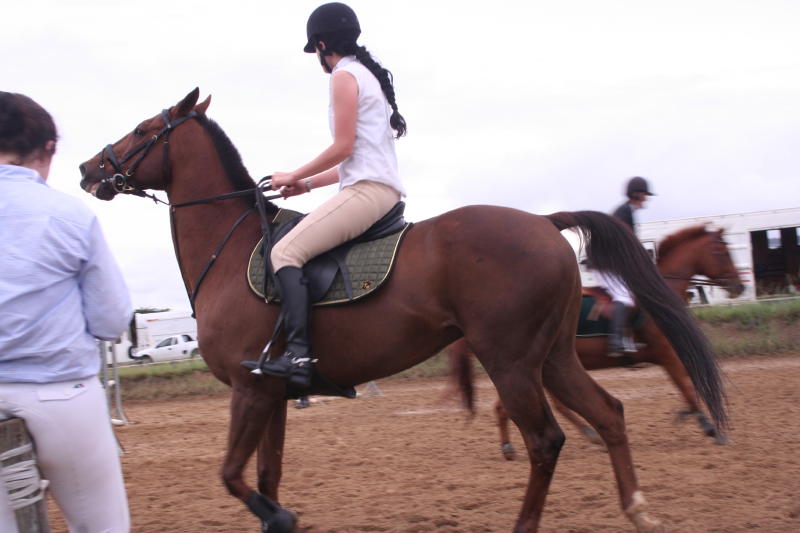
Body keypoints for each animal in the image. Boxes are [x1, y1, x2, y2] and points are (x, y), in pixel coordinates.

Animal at [449, 225, 743, 459]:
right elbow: (688, 387)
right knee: (515, 406)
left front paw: (696, 419)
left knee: (525, 405)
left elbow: (686, 386)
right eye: (722, 252)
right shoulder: (666, 354)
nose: (739, 286)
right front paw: (710, 427)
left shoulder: (666, 355)